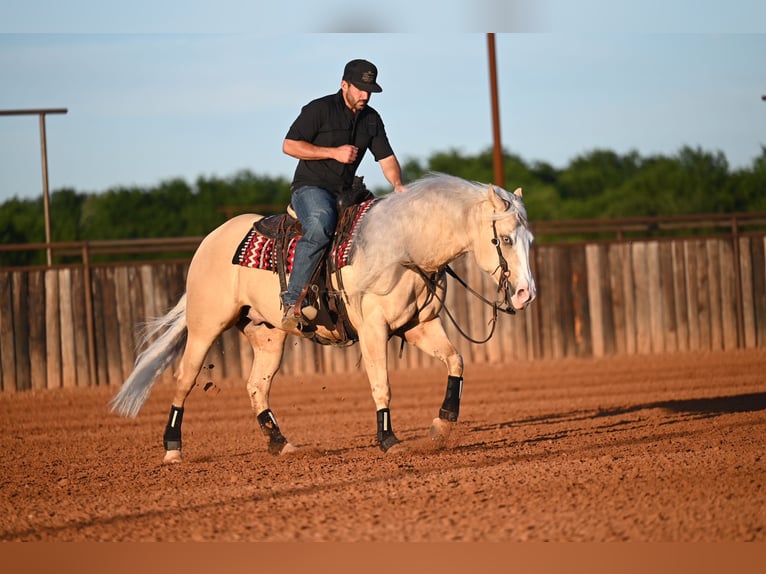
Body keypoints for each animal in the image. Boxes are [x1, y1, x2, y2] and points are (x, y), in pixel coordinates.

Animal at [110, 173, 536, 462]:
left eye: (529, 240)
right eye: (505, 238)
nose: (525, 294)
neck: (405, 246)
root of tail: (211, 241)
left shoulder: (418, 327)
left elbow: (456, 361)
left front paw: (442, 425)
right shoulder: (374, 330)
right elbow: (382, 385)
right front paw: (389, 440)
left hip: (268, 334)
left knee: (256, 386)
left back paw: (281, 444)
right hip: (205, 325)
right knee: (184, 379)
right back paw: (172, 449)